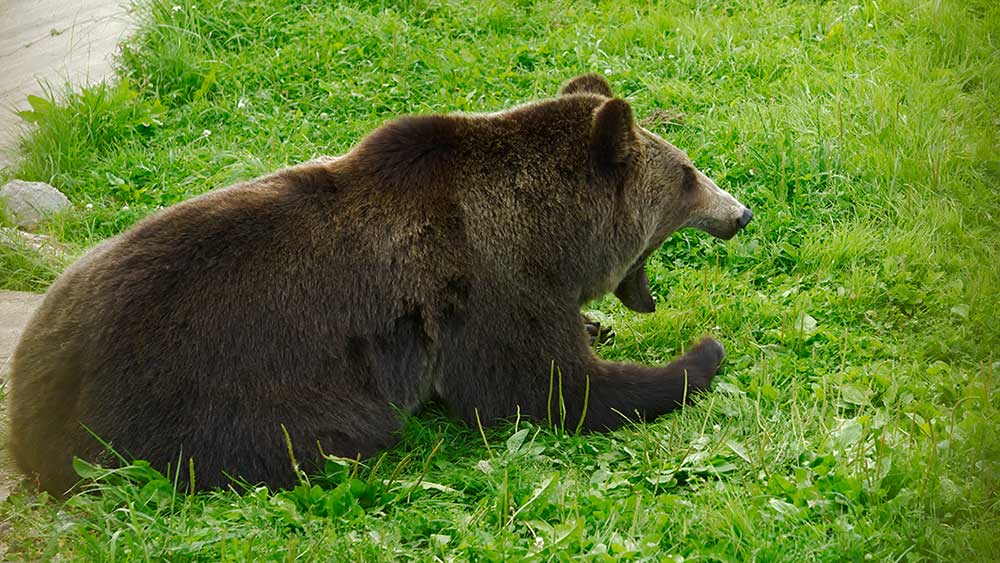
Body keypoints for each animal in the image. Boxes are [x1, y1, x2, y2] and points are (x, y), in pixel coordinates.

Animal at [5, 74, 752, 494]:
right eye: (689, 174)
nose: (741, 212)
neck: (551, 231)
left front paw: (605, 326)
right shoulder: (486, 287)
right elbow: (544, 388)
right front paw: (698, 355)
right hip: (201, 391)